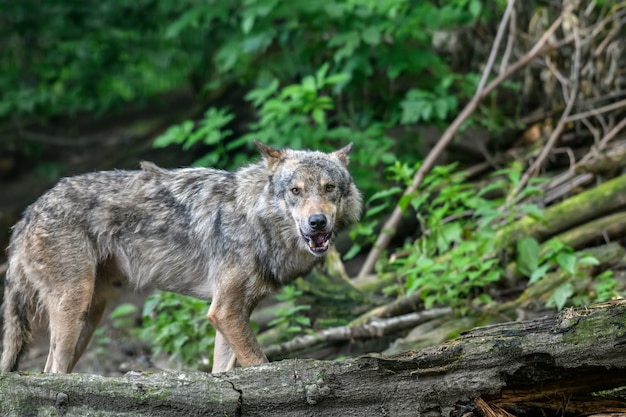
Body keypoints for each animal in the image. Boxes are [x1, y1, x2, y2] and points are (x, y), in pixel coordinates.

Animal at [0, 141, 360, 374]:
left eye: (329, 188)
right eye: (295, 191)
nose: (317, 222)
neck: (255, 218)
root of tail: (28, 213)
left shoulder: (232, 314)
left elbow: (222, 371)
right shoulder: (225, 311)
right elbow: (259, 364)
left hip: (90, 315)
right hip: (75, 304)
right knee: (51, 370)